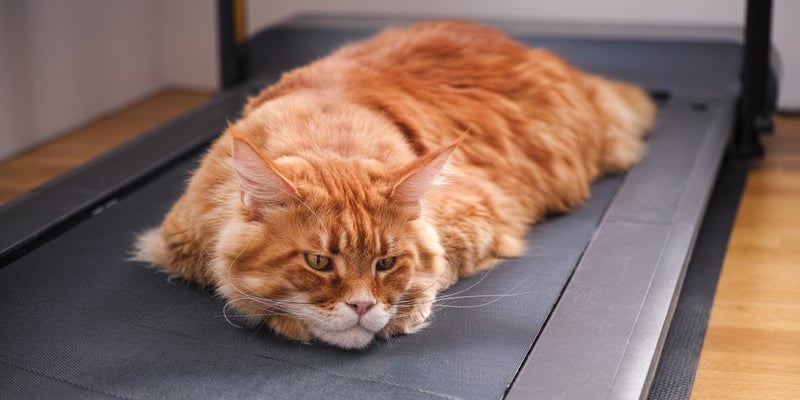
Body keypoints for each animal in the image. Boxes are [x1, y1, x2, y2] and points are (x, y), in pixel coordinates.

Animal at [133, 20, 656, 348]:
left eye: (386, 263)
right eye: (318, 262)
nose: (363, 306)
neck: (328, 130)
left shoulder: (479, 214)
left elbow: (436, 264)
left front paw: (402, 308)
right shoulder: (177, 242)